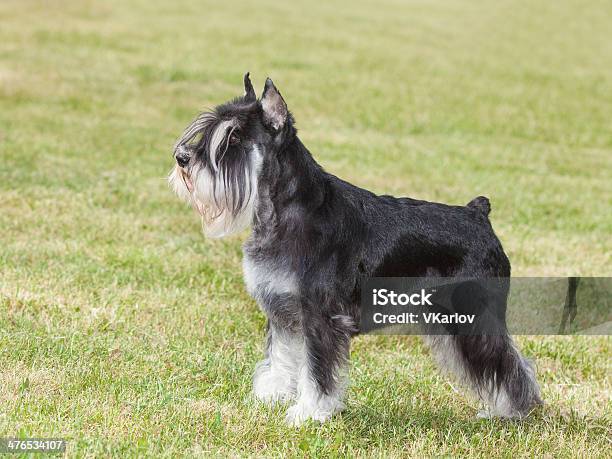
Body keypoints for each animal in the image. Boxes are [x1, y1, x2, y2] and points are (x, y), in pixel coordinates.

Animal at [167, 73, 540, 428]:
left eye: (234, 138)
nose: (182, 158)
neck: (286, 210)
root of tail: (478, 213)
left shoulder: (320, 316)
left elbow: (315, 370)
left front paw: (308, 413)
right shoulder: (283, 311)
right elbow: (282, 356)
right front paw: (271, 396)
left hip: (473, 319)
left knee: (509, 364)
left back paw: (514, 412)